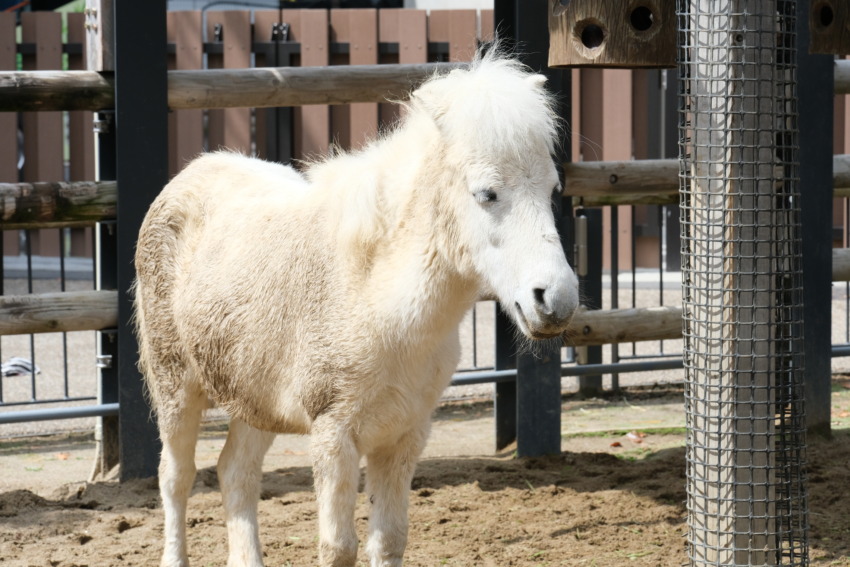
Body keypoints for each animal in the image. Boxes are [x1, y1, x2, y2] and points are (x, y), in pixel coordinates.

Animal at [136, 50, 576, 567]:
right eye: (486, 193)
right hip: (175, 389)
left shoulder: (405, 435)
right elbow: (338, 547)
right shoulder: (333, 434)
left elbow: (389, 539)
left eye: (552, 190)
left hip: (254, 401)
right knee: (176, 479)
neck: (377, 297)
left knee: (235, 473)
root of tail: (187, 178)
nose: (556, 299)